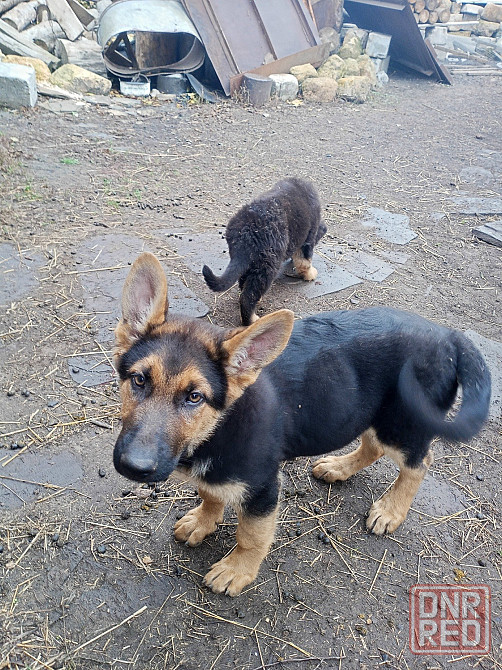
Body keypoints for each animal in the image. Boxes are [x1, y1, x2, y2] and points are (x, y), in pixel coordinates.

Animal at [113, 253, 491, 596]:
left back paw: (391, 510)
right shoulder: (217, 472)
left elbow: (250, 536)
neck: (220, 424)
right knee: (372, 447)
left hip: (402, 423)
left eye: (194, 397)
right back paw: (339, 467)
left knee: (418, 463)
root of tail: (447, 335)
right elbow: (210, 493)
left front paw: (237, 570)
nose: (134, 467)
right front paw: (204, 520)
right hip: (366, 412)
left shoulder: (263, 488)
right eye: (139, 380)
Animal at [202, 177, 327, 325]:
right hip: (267, 266)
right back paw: (252, 320)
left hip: (249, 264)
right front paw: (310, 274)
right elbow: (305, 262)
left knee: (245, 285)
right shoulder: (308, 238)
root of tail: (246, 234)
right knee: (247, 297)